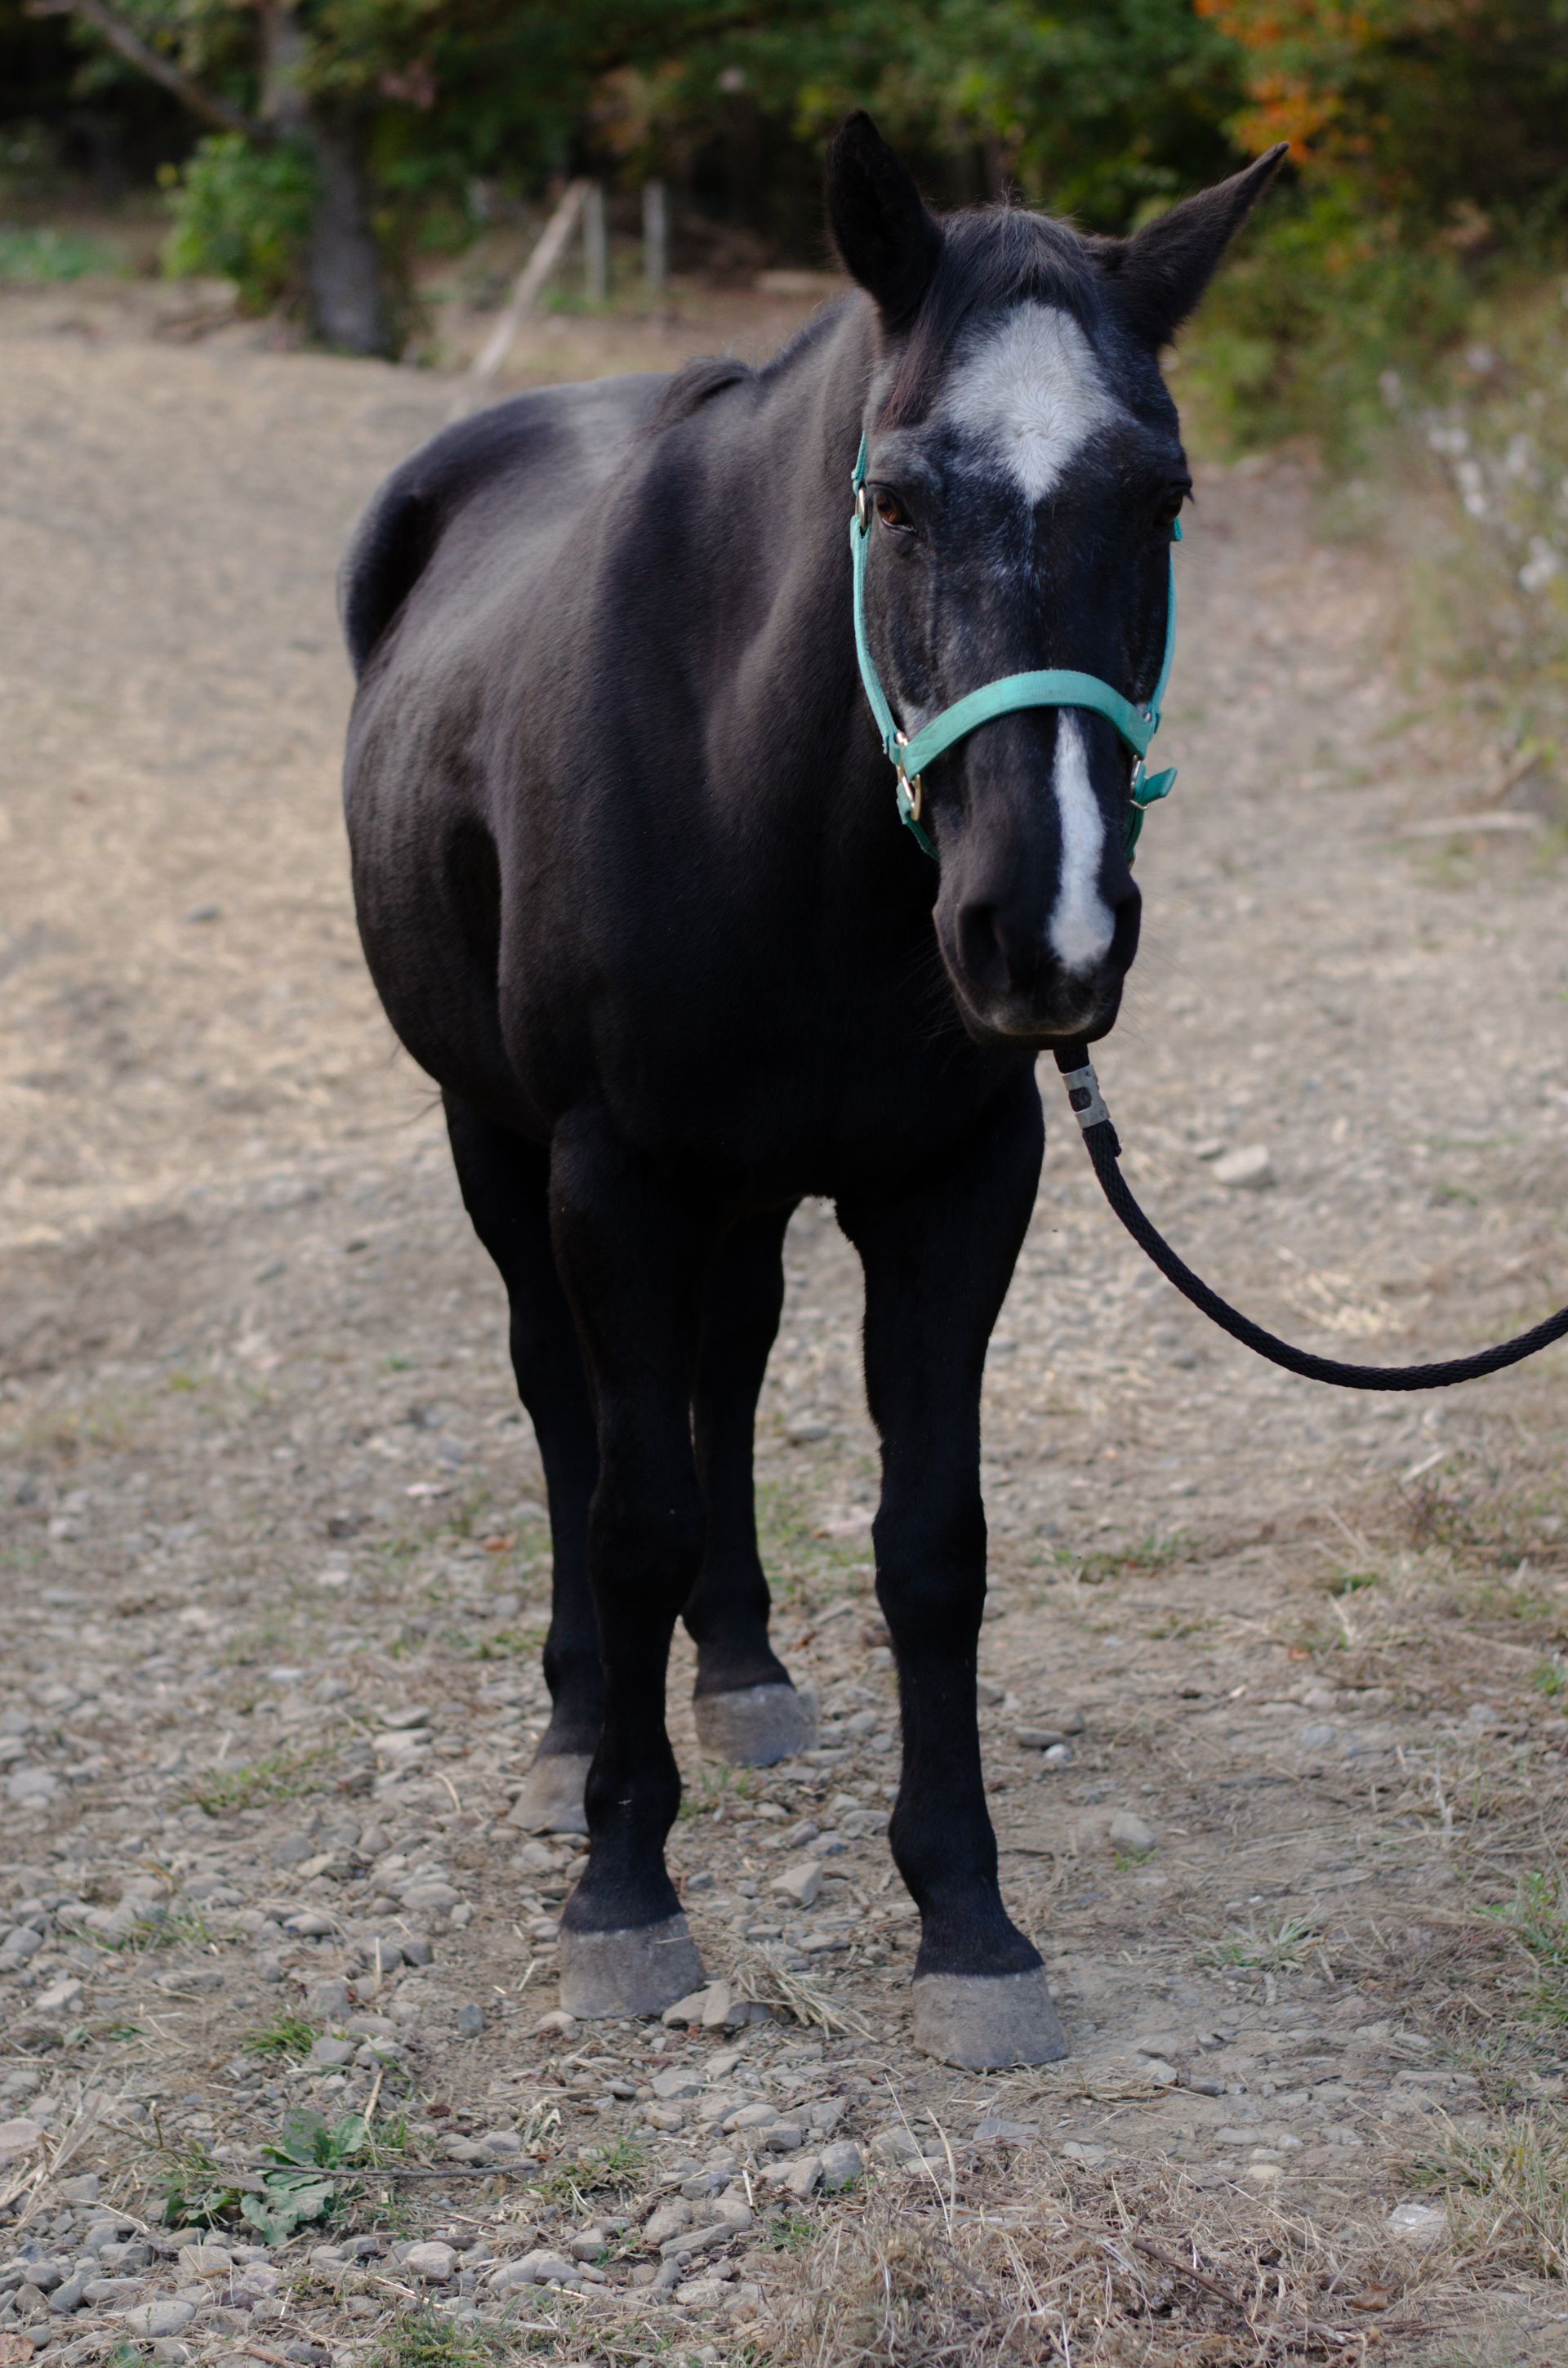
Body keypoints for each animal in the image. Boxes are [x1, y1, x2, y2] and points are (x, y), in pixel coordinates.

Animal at [338, 114, 1282, 2070]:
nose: (1046, 932)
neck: (753, 789)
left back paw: (746, 1669)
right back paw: (576, 1725)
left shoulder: (956, 1181)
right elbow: (630, 1512)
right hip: (500, 1146)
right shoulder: (612, 1175)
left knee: (729, 1366)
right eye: (900, 498)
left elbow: (933, 1542)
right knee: (565, 1406)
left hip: (751, 1184)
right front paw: (624, 1890)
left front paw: (971, 1920)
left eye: (1159, 498)